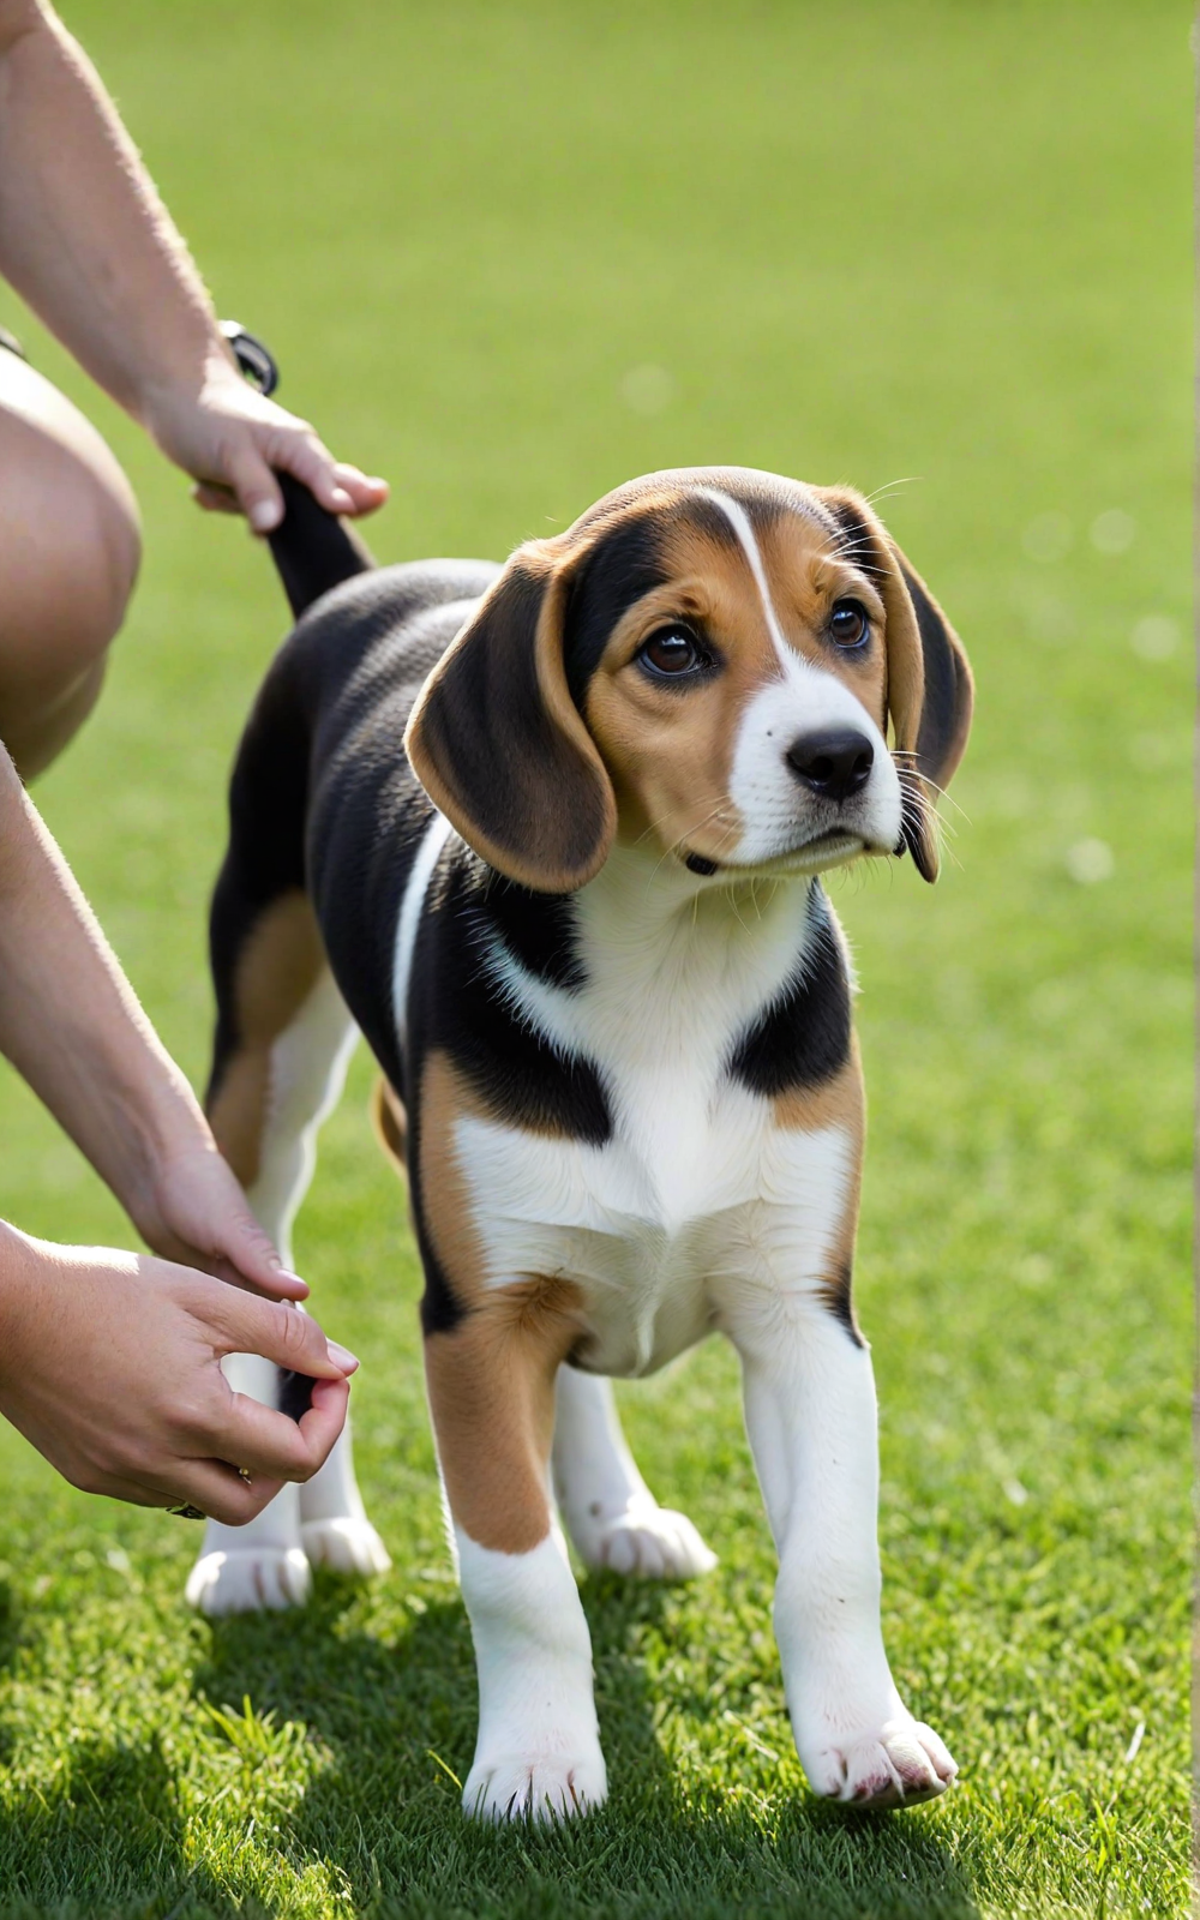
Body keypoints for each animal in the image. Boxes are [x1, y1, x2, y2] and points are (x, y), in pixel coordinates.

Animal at [189, 460, 975, 1812]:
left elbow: (831, 1560)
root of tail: (361, 585)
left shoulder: (803, 1309)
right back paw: (262, 1545)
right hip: (262, 1077)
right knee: (263, 1278)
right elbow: (517, 1573)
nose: (841, 756)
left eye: (849, 623)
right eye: (672, 649)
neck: (682, 961)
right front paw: (537, 1764)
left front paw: (866, 1739)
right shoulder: (475, 1322)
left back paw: (611, 1511)